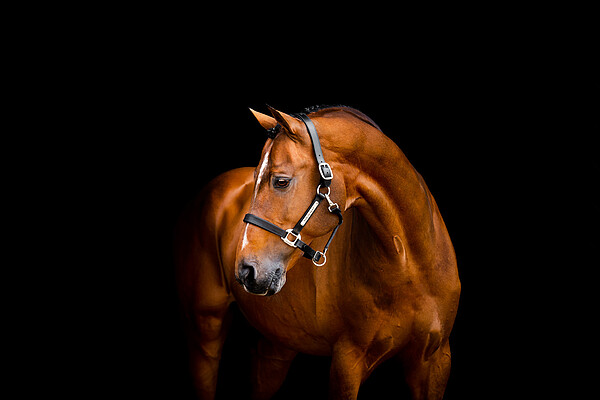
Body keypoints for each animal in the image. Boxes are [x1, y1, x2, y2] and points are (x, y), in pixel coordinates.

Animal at [176, 104, 462, 398]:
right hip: (205, 329)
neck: (409, 266)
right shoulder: (347, 362)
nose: (246, 270)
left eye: (281, 181)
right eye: (255, 179)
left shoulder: (435, 360)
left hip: (277, 344)